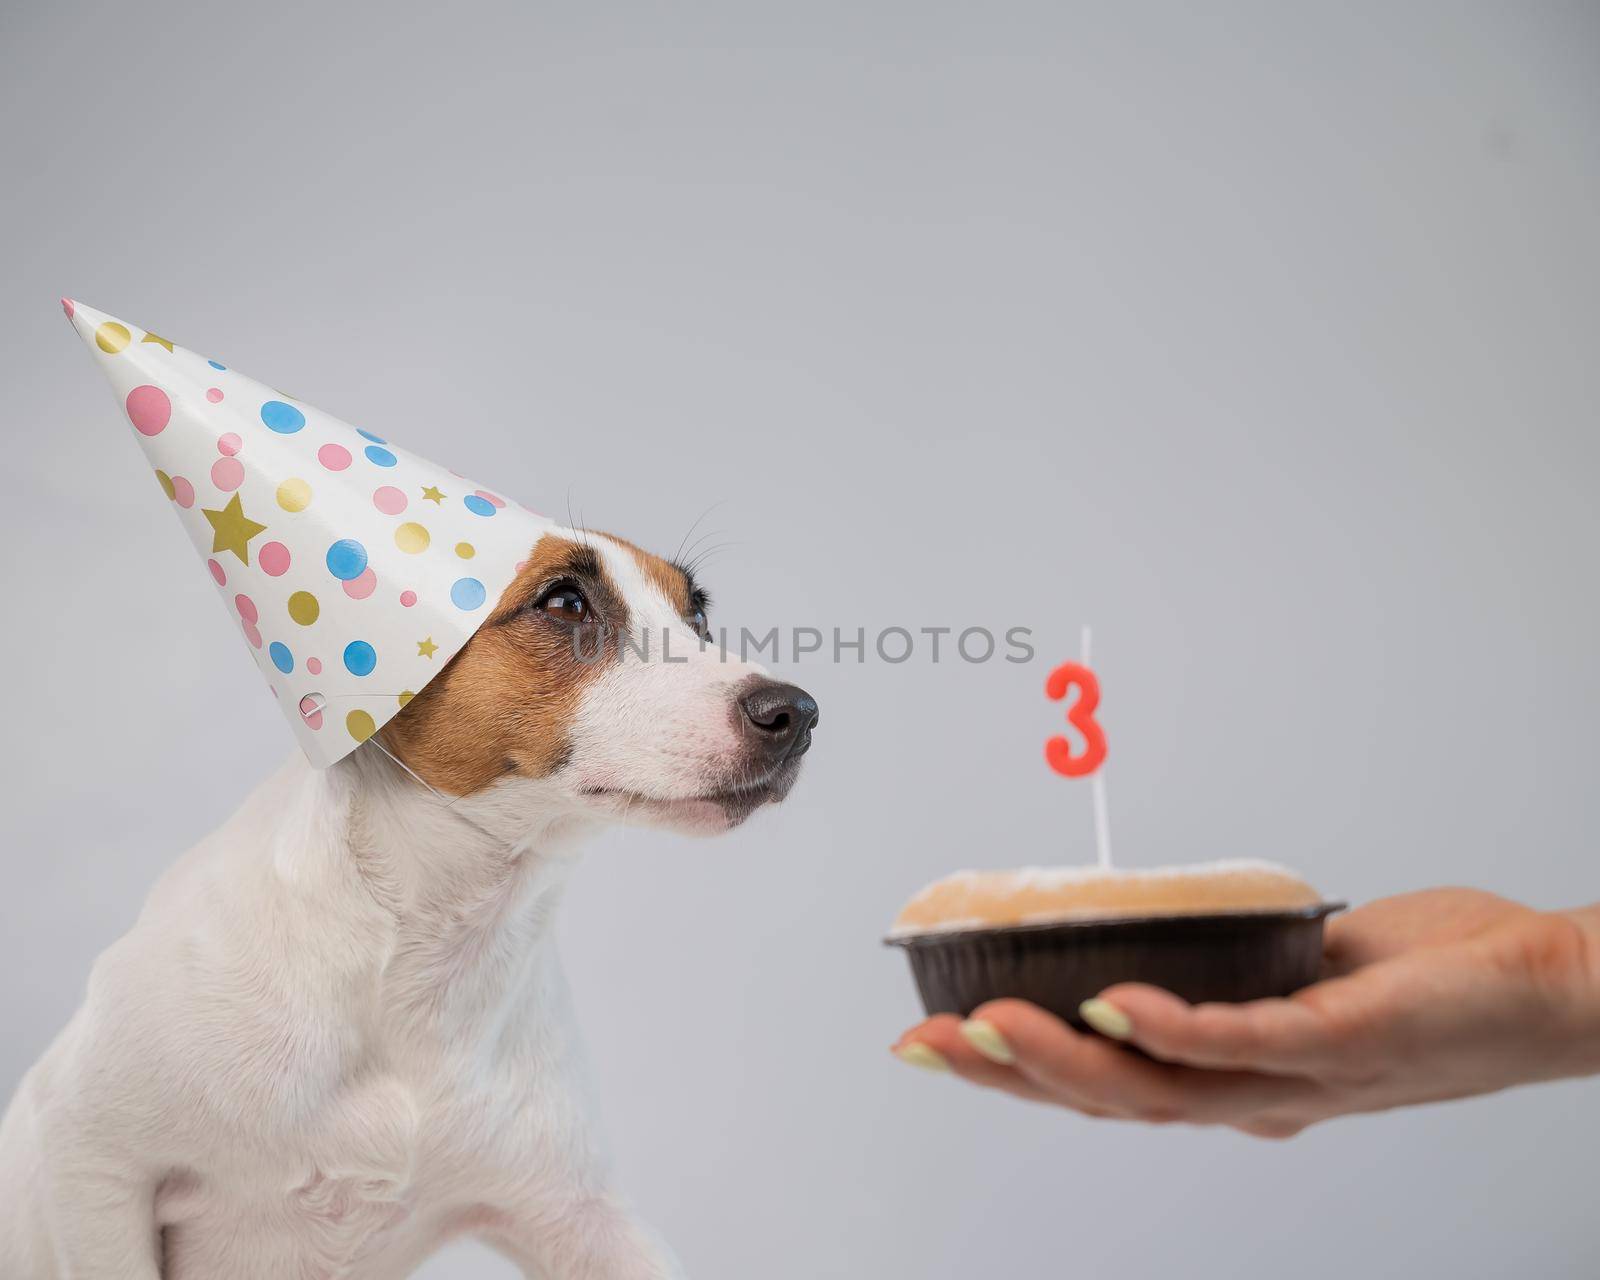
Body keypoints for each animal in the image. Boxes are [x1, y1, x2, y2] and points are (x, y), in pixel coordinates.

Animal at [0, 524, 819, 1273]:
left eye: (698, 613)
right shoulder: (89, 1162)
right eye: (564, 602)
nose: (797, 715)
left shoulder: (577, 1215)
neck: (425, 949)